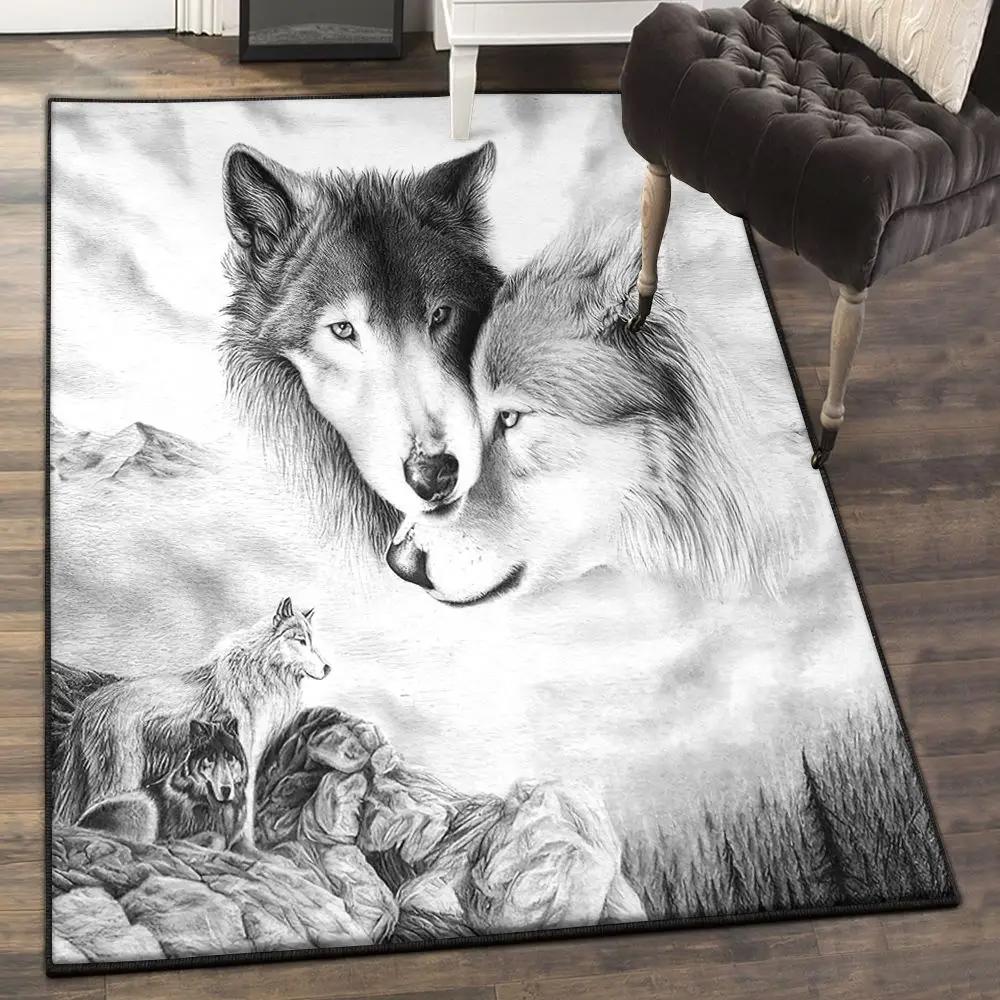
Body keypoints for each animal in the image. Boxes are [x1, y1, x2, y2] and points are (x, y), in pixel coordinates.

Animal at [76, 718, 248, 850]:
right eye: (210, 758)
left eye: (229, 757)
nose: (226, 790)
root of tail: (78, 824)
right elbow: (216, 837)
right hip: (145, 805)